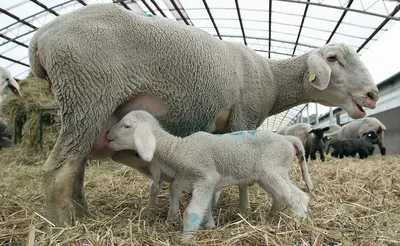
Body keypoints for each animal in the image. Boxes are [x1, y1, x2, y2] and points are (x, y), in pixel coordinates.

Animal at [107, 110, 312, 241]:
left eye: (126, 126)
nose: (107, 135)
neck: (178, 149)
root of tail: (287, 139)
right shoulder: (189, 179)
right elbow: (180, 193)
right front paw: (203, 223)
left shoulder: (206, 177)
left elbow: (192, 212)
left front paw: (185, 238)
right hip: (268, 175)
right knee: (281, 196)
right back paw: (272, 217)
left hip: (273, 170)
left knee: (297, 196)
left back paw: (299, 222)